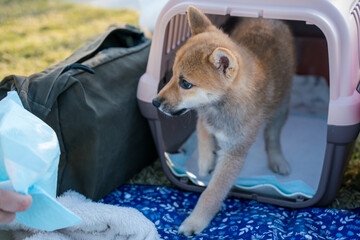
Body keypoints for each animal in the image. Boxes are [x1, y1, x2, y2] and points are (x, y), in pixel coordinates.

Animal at [152, 6, 296, 236]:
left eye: (185, 83)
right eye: (172, 74)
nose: (155, 102)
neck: (219, 109)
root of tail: (272, 19)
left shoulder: (234, 153)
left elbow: (211, 193)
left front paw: (195, 221)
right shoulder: (204, 116)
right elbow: (202, 132)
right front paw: (205, 162)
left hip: (281, 106)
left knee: (273, 135)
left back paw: (277, 159)